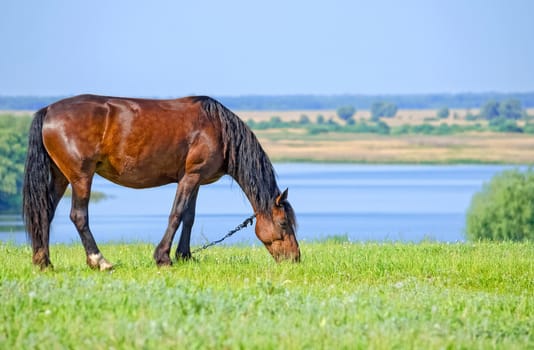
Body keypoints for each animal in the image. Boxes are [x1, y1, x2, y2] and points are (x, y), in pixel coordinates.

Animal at [22, 95, 302, 270]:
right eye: (283, 223)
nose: (296, 259)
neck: (218, 129)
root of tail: (49, 111)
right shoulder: (190, 177)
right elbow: (176, 214)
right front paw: (163, 258)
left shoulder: (195, 180)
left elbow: (189, 217)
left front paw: (185, 256)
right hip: (81, 177)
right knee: (78, 216)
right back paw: (99, 261)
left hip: (61, 176)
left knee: (45, 213)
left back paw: (43, 262)